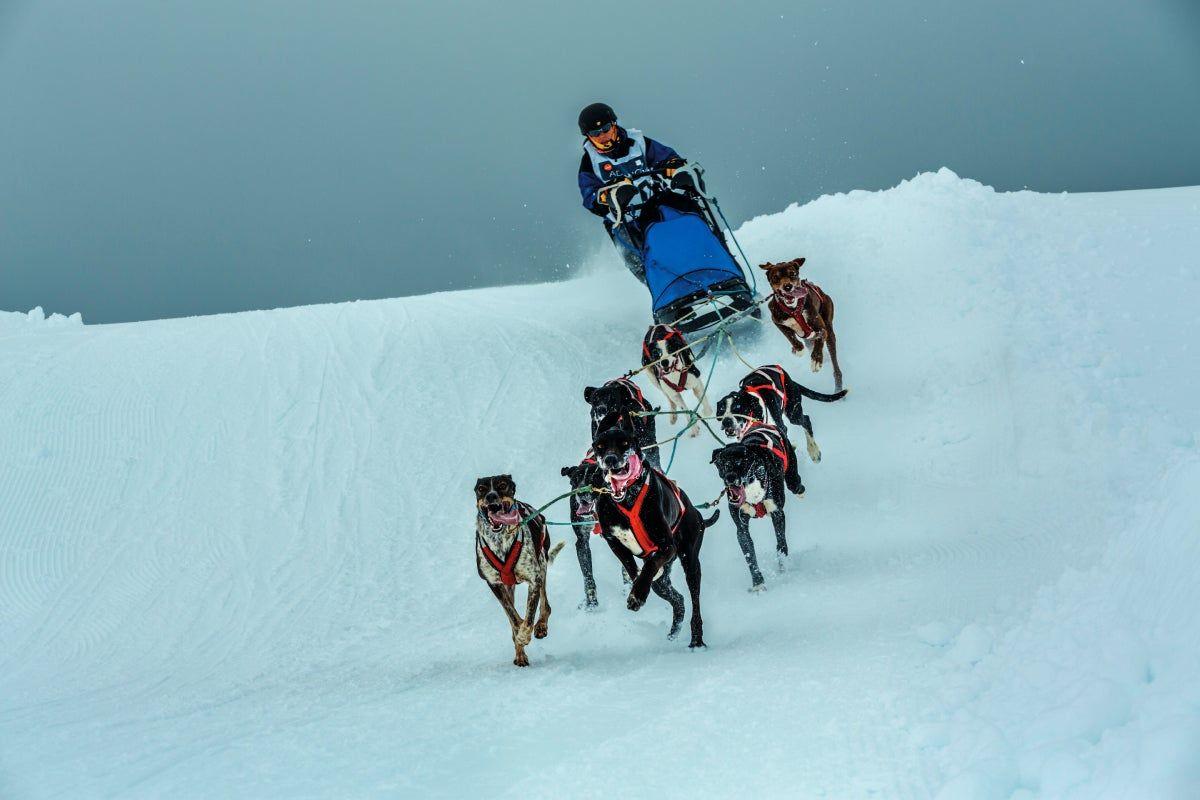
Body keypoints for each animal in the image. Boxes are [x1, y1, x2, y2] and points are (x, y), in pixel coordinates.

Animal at [472, 472, 566, 666]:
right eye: (481, 489)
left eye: (502, 485)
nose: (491, 496)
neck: (500, 540)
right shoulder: (494, 584)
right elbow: (513, 617)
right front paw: (519, 638)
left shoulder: (534, 579)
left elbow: (529, 616)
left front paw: (525, 634)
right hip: (509, 586)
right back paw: (520, 654)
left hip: (542, 566)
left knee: (545, 605)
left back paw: (541, 626)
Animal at [588, 417, 715, 647]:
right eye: (599, 446)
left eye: (624, 443)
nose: (610, 459)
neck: (628, 498)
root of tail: (697, 513)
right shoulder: (613, 540)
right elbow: (631, 565)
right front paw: (636, 582)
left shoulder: (666, 545)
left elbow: (650, 565)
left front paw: (637, 594)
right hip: (666, 578)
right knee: (676, 598)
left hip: (690, 560)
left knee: (694, 600)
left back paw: (696, 639)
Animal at [710, 422, 796, 592]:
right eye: (723, 464)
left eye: (739, 463)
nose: (730, 478)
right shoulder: (741, 527)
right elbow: (749, 555)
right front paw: (758, 583)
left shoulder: (777, 513)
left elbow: (781, 543)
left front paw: (783, 568)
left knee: (794, 481)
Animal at [758, 257, 844, 393]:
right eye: (776, 277)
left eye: (792, 274)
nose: (788, 286)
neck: (793, 310)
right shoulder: (777, 321)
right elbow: (790, 336)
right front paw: (798, 349)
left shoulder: (821, 329)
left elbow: (820, 336)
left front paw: (816, 359)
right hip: (809, 338)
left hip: (829, 329)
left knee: (835, 364)